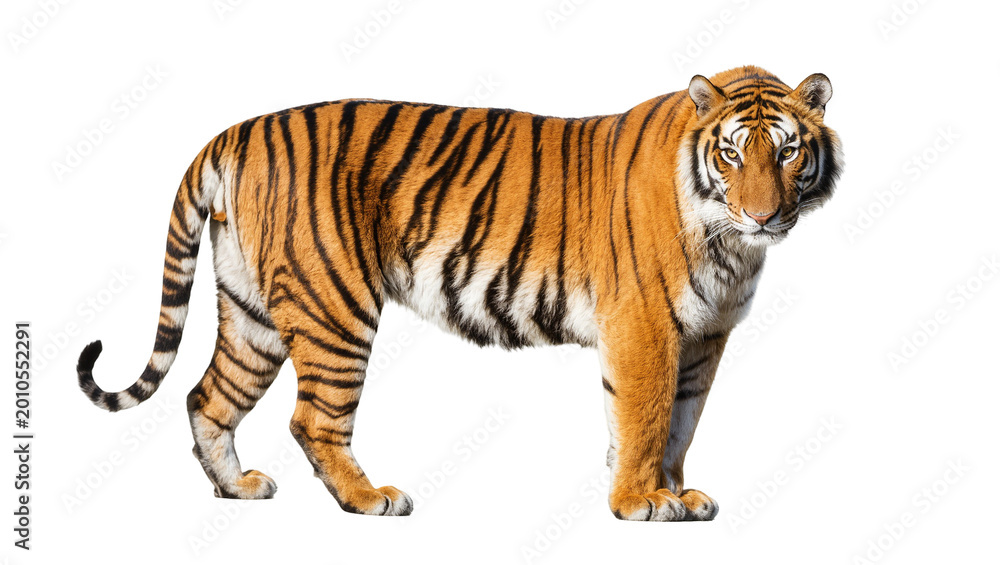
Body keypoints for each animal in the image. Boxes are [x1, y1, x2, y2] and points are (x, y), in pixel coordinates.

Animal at [76, 65, 842, 521]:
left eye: (788, 152)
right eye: (732, 154)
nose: (762, 215)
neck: (731, 245)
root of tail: (236, 131)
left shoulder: (704, 335)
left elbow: (682, 421)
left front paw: (678, 492)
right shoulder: (644, 326)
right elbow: (644, 418)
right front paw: (639, 501)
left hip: (253, 311)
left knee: (206, 396)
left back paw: (236, 488)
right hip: (334, 307)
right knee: (312, 418)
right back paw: (370, 498)